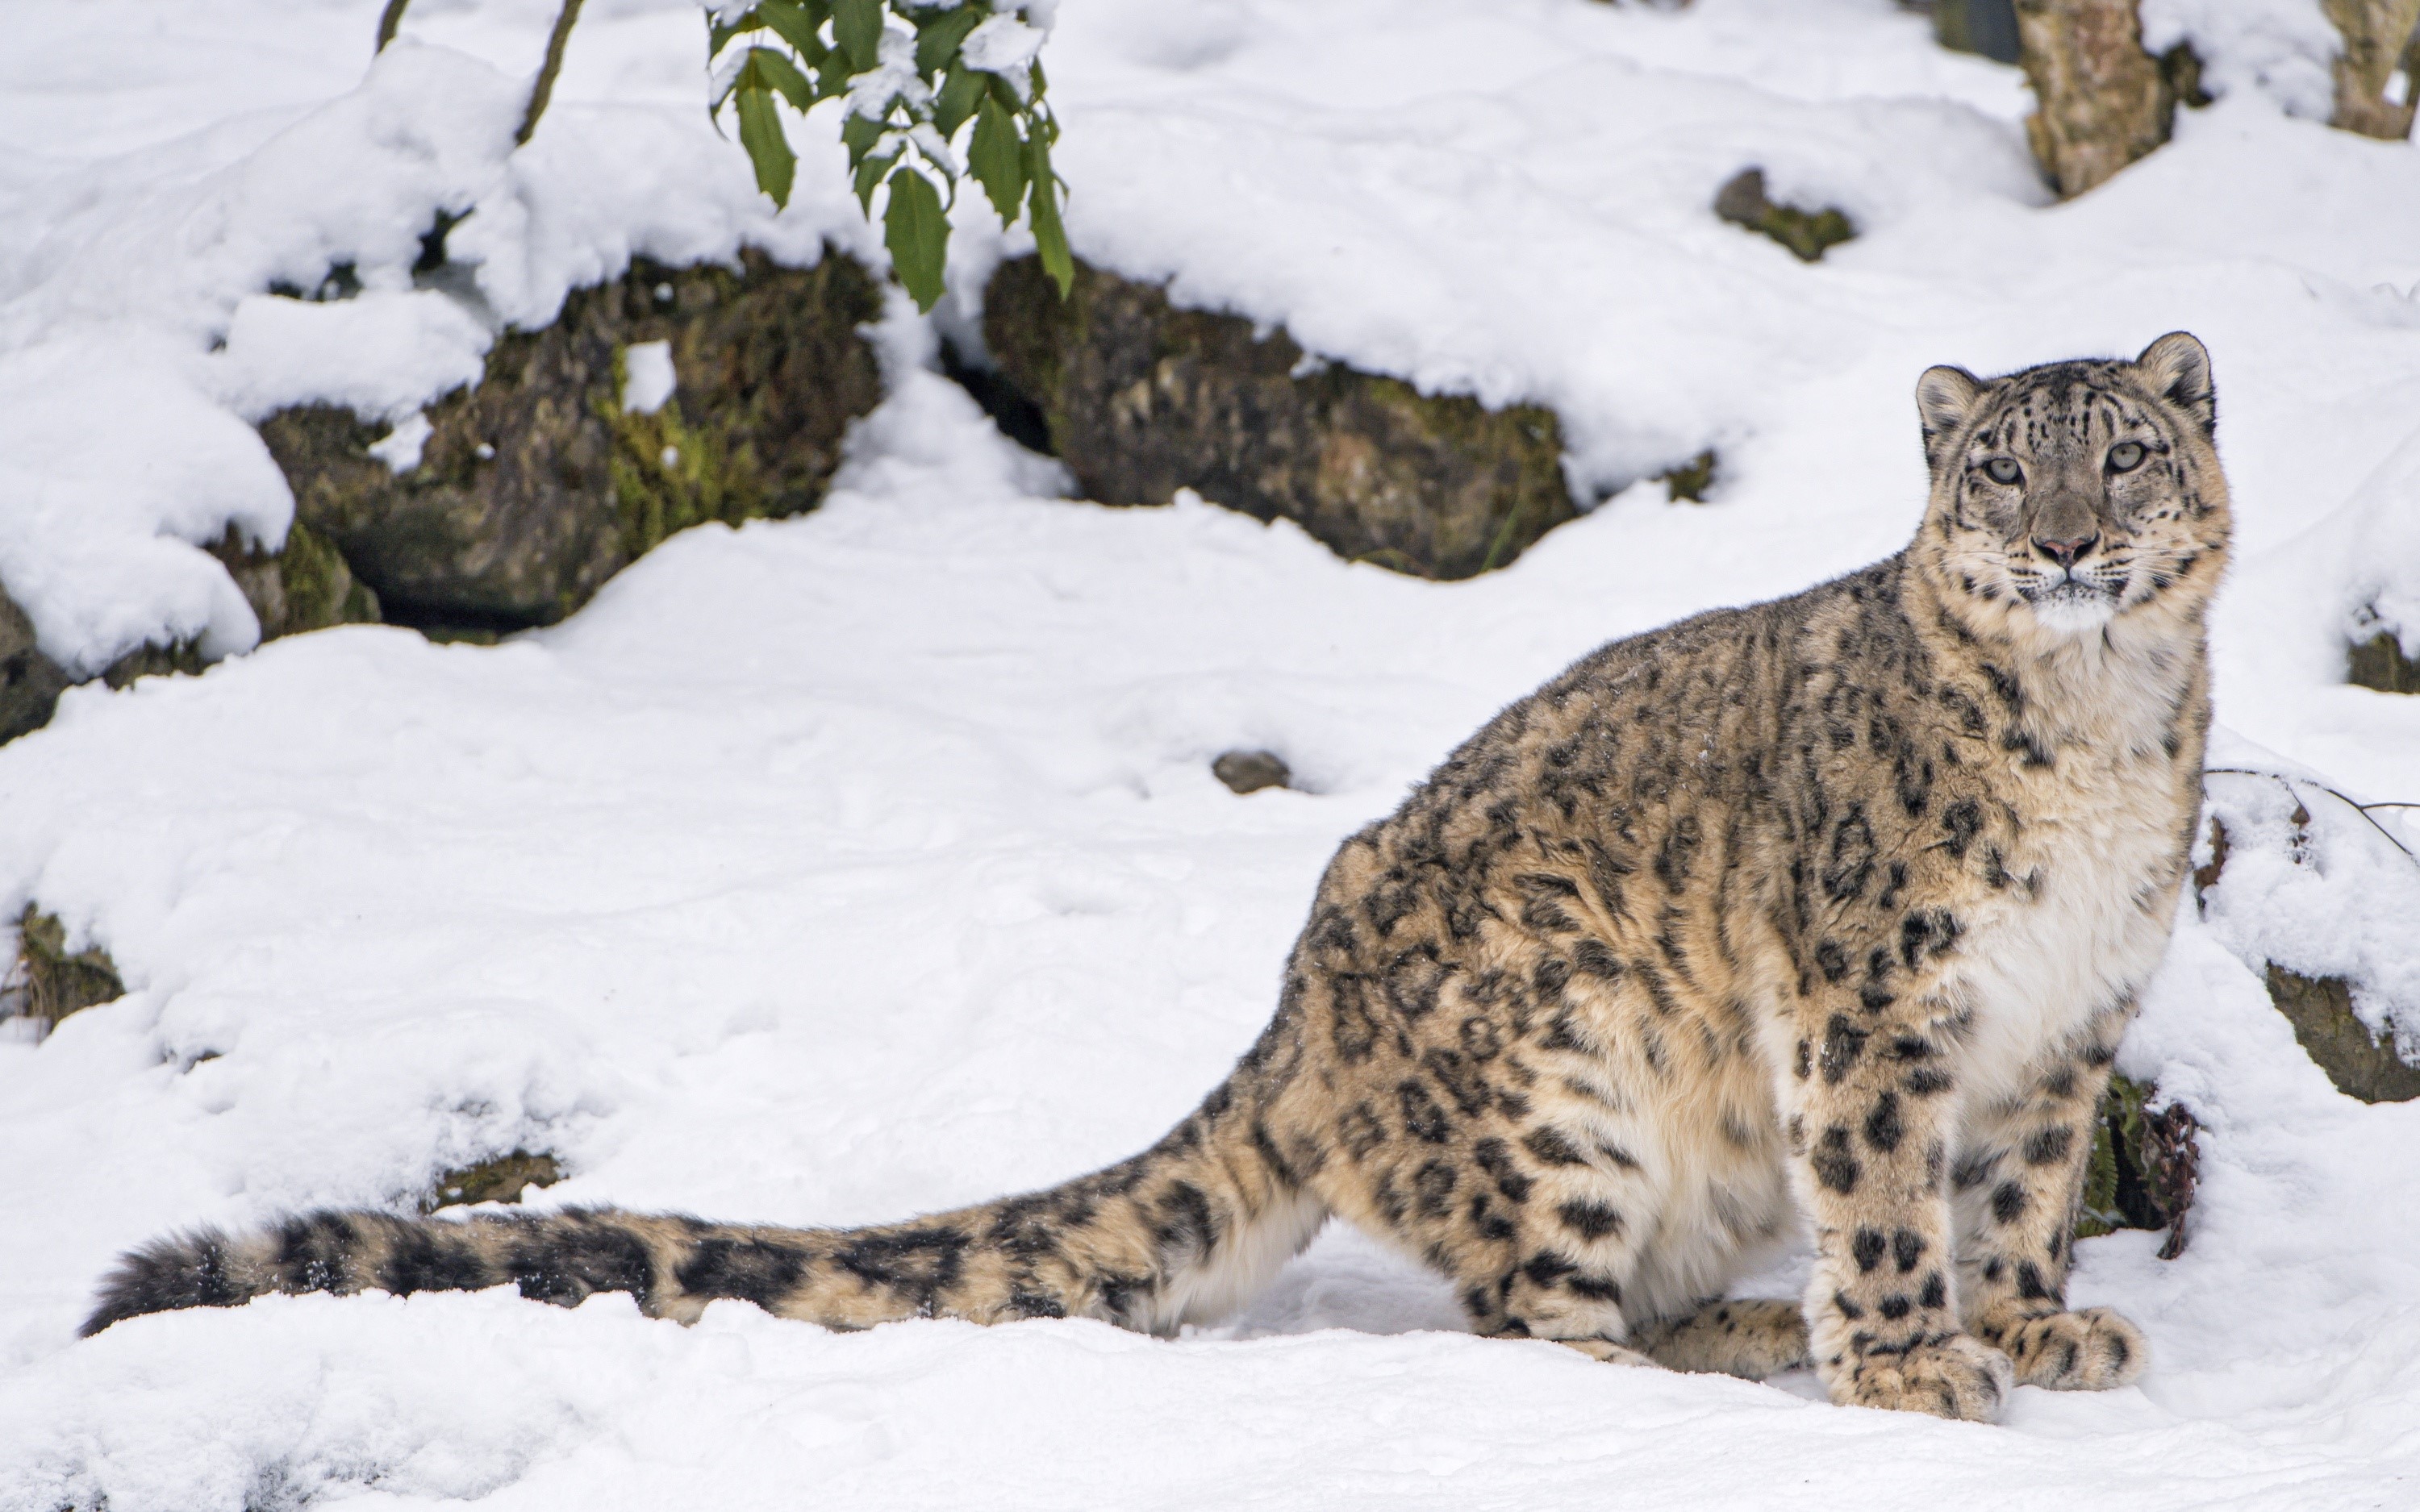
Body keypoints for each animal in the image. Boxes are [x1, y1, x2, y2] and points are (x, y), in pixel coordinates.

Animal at [82, 333, 2228, 1423]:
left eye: (2120, 454)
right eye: (1998, 469)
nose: (2058, 540)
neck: (2102, 728)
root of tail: (1293, 1012)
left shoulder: (2068, 1016)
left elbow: (2018, 1188)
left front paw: (2039, 1320)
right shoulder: (1876, 994)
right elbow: (1883, 1185)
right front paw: (1915, 1360)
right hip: (1568, 1082)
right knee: (1533, 1309)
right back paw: (1699, 1369)